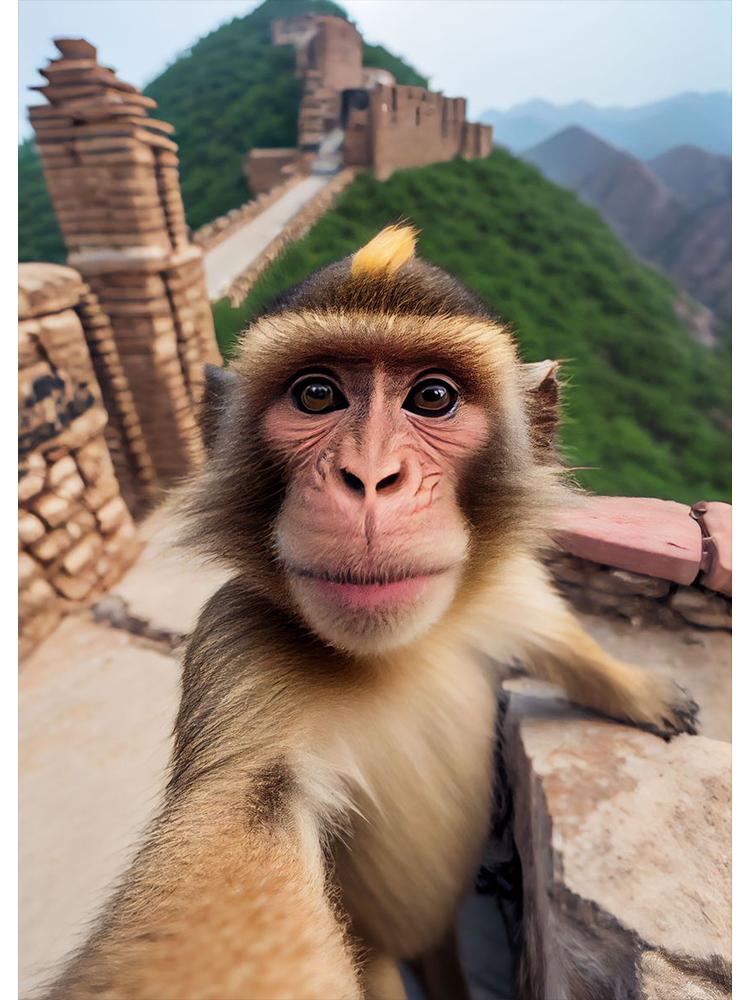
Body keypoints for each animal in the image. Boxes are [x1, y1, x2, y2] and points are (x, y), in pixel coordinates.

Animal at [46, 224, 698, 1000]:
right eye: (317, 394)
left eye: (434, 396)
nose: (370, 477)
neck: (400, 652)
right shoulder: (240, 647)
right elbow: (247, 810)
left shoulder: (501, 590)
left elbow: (556, 640)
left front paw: (637, 690)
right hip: (379, 954)